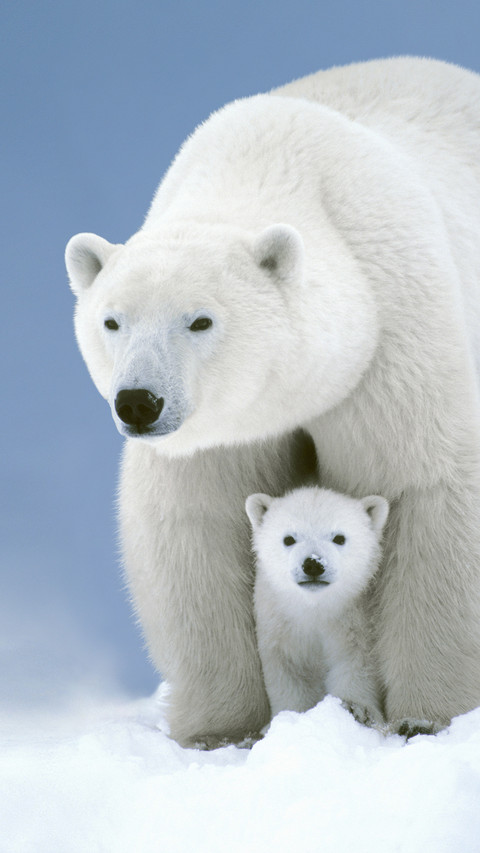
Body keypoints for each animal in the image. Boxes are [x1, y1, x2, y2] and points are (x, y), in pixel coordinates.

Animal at [246, 487, 388, 726]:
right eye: (289, 538)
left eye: (339, 537)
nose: (313, 564)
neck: (316, 607)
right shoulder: (279, 626)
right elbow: (288, 674)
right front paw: (290, 718)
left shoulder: (356, 620)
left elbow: (356, 663)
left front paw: (356, 709)